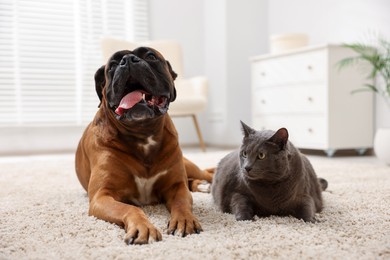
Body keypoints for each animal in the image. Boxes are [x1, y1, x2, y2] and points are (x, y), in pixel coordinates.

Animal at [76, 46, 213, 244]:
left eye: (150, 56)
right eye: (113, 65)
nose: (128, 59)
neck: (142, 133)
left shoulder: (176, 187)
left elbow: (181, 203)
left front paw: (184, 220)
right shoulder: (101, 197)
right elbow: (130, 208)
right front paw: (143, 227)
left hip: (191, 168)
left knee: (208, 175)